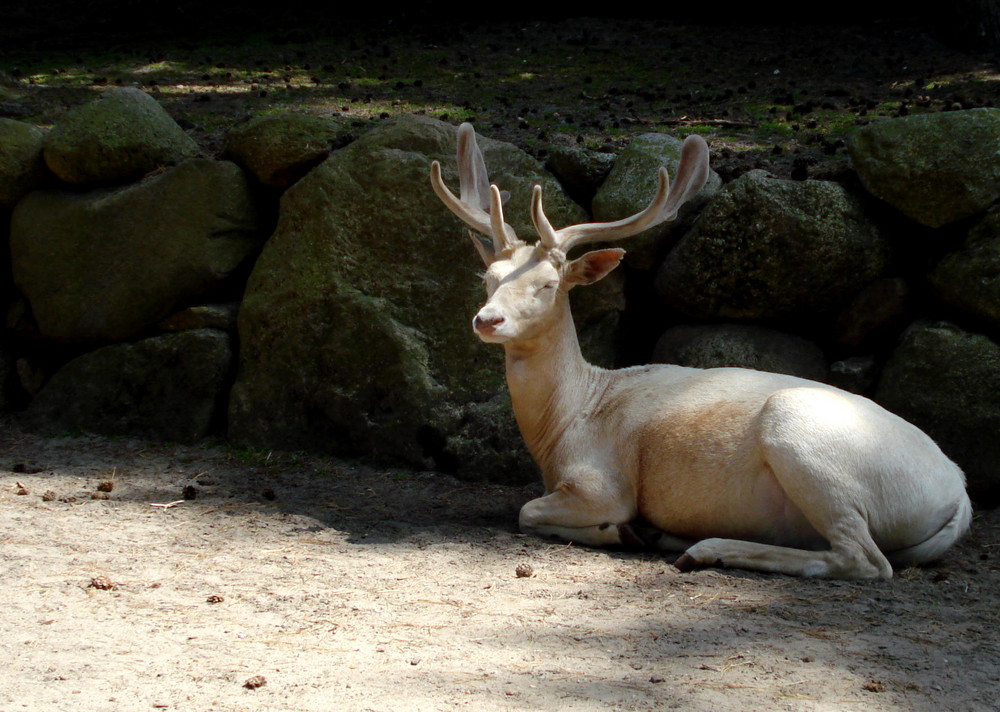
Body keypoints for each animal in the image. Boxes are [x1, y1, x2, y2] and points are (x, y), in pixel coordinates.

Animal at [428, 122, 968, 580]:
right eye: (488, 277)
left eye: (547, 284)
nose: (487, 319)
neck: (565, 425)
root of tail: (959, 493)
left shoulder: (601, 482)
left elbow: (527, 511)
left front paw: (620, 531)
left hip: (805, 443)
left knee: (866, 560)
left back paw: (704, 548)